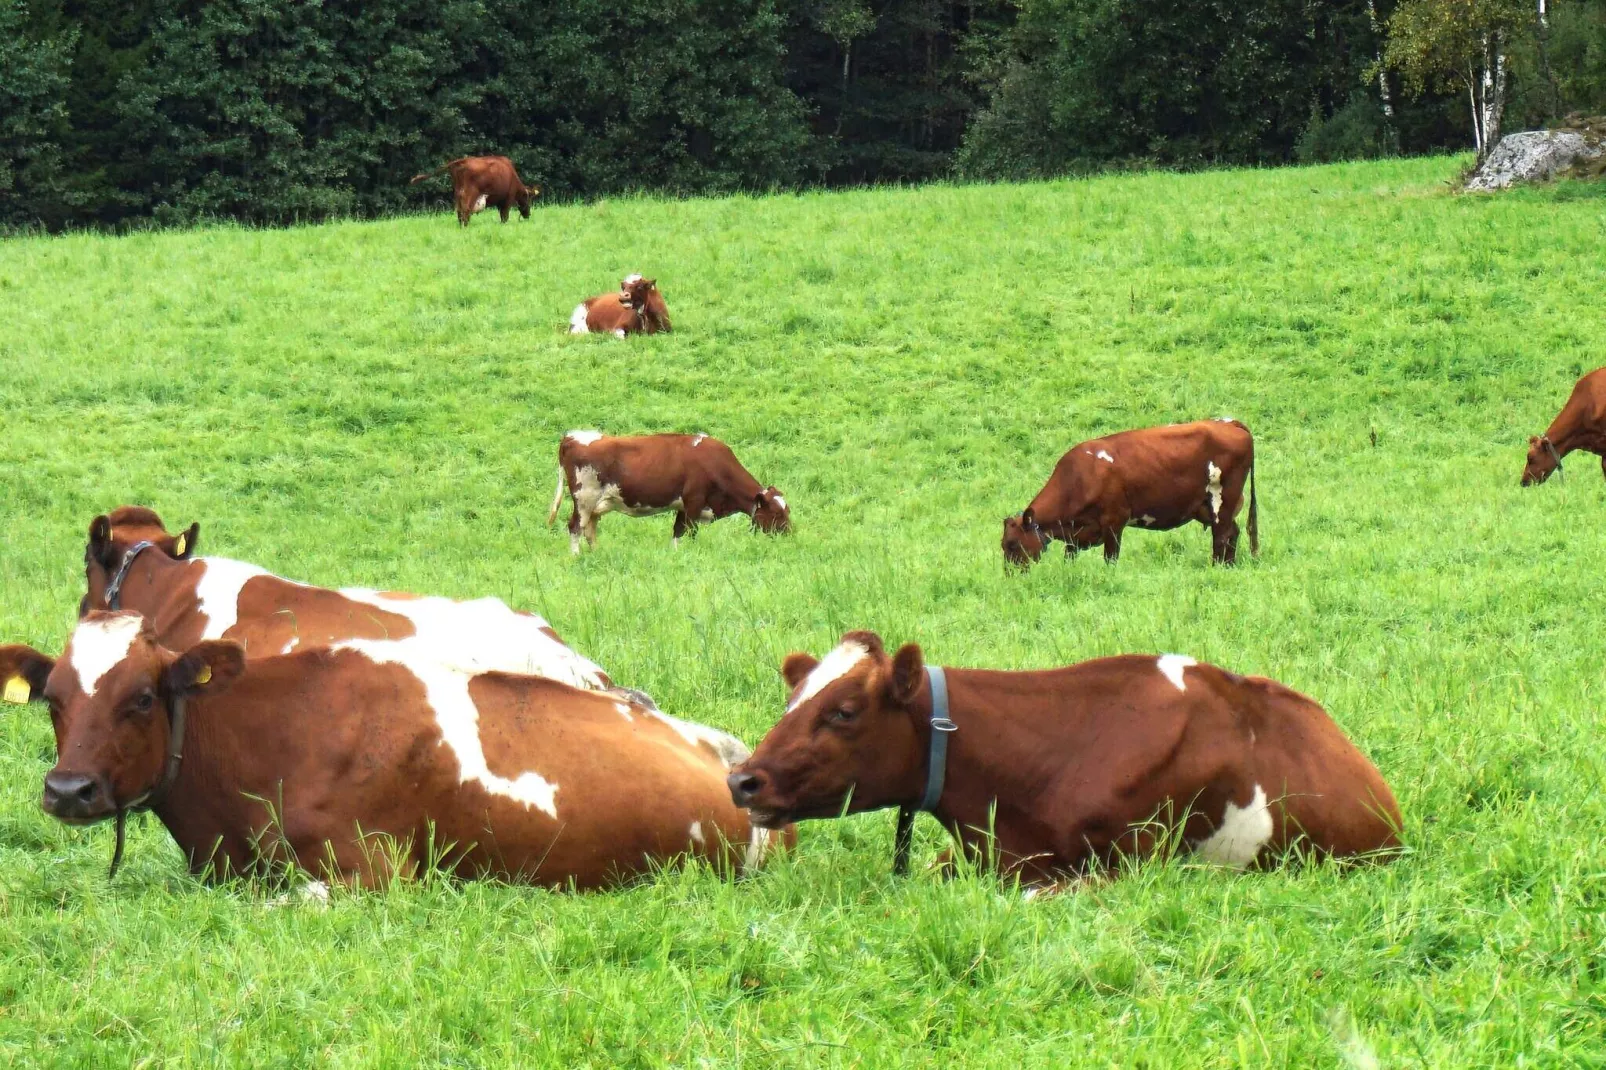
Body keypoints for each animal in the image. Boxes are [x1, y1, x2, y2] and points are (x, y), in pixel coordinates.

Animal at [407, 155, 539, 226]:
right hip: (470, 193)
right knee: (466, 211)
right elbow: (504, 216)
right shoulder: (507, 199)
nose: (527, 215)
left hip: (458, 193)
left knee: (459, 212)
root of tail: (461, 161)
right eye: (529, 199)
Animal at [549, 430, 793, 549]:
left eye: (787, 510)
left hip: (597, 504)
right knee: (575, 527)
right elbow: (691, 533)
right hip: (584, 498)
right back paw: (576, 557)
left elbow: (677, 533)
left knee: (589, 529)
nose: (790, 534)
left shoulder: (683, 507)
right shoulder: (694, 502)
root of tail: (572, 436)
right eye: (776, 513)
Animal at [1002, 417, 1252, 565]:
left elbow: (1110, 560)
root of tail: (1228, 422)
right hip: (1209, 508)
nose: (1011, 576)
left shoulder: (1114, 523)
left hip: (1222, 502)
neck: (1081, 476)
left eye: (1012, 544)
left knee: (1221, 538)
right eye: (1004, 545)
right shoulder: (1076, 536)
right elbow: (1069, 558)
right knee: (1233, 533)